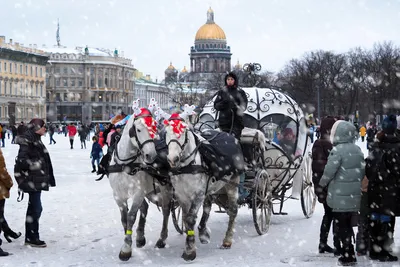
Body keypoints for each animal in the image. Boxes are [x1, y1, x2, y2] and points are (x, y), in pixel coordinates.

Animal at [108, 110, 173, 262]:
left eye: (155, 128)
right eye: (138, 129)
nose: (151, 155)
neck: (126, 166)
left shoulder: (137, 194)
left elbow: (131, 217)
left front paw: (126, 248)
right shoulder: (118, 196)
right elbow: (124, 219)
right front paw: (130, 241)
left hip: (165, 190)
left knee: (166, 211)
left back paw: (162, 239)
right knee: (145, 208)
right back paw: (140, 237)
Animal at [163, 116, 239, 262]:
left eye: (183, 132)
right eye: (166, 132)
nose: (172, 158)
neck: (187, 166)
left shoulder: (198, 194)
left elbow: (190, 218)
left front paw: (189, 251)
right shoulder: (182, 196)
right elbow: (186, 219)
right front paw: (190, 244)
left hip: (232, 183)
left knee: (233, 210)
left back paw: (227, 240)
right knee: (207, 207)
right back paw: (203, 232)